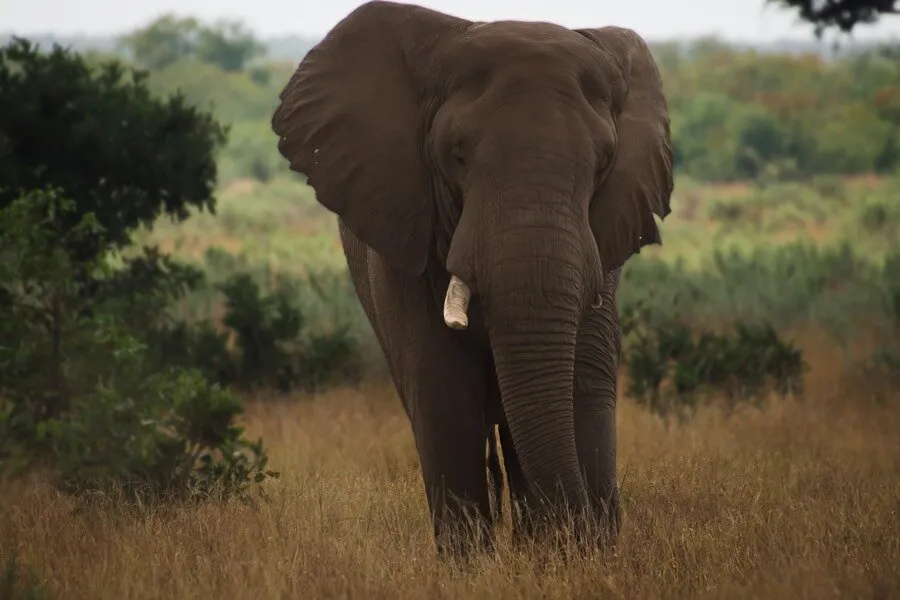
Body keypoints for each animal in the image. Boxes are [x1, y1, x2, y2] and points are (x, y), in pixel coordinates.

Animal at [271, 0, 674, 557]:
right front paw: (477, 565)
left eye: (604, 164)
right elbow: (443, 388)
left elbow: (582, 376)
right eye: (456, 155)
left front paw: (572, 556)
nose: (589, 525)